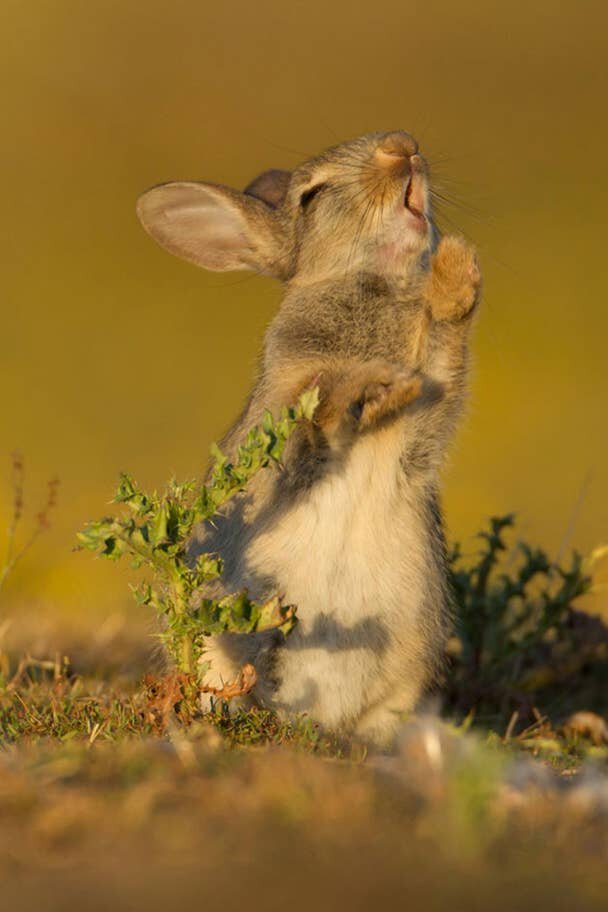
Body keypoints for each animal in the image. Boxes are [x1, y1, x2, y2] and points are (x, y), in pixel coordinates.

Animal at [137, 128, 480, 744]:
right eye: (312, 196)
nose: (401, 144)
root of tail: (317, 714)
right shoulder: (287, 434)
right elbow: (317, 413)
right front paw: (378, 384)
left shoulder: (426, 424)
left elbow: (444, 354)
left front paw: (457, 270)